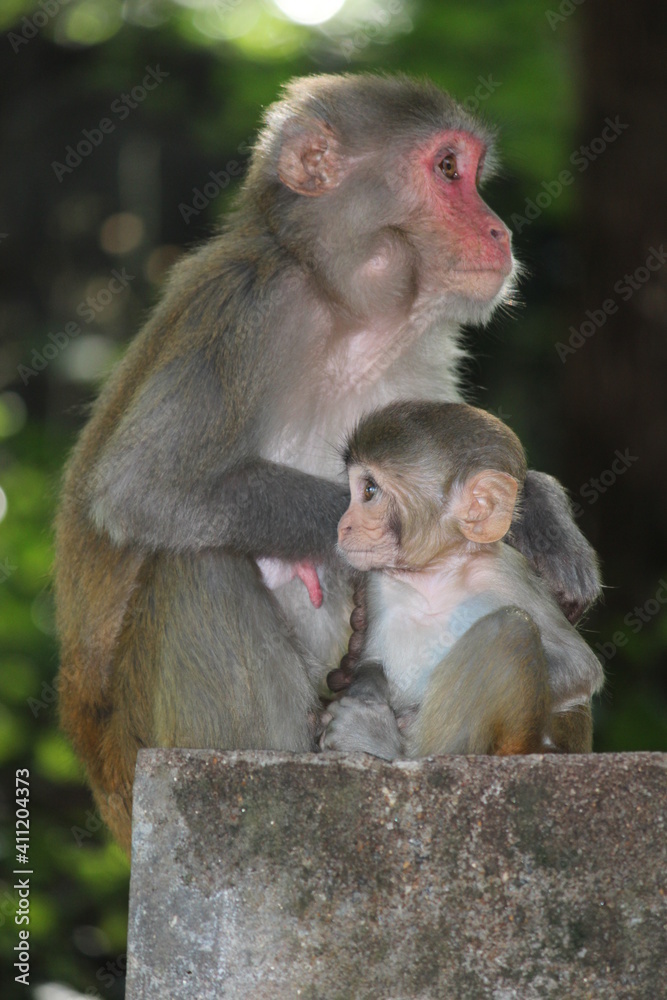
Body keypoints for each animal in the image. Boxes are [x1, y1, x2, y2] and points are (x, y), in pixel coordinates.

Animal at [320, 401, 604, 759]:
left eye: (369, 491)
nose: (343, 525)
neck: (434, 575)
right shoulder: (376, 585)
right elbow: (370, 660)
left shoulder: (505, 571)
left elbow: (580, 666)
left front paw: (405, 718)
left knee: (510, 628)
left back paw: (387, 745)